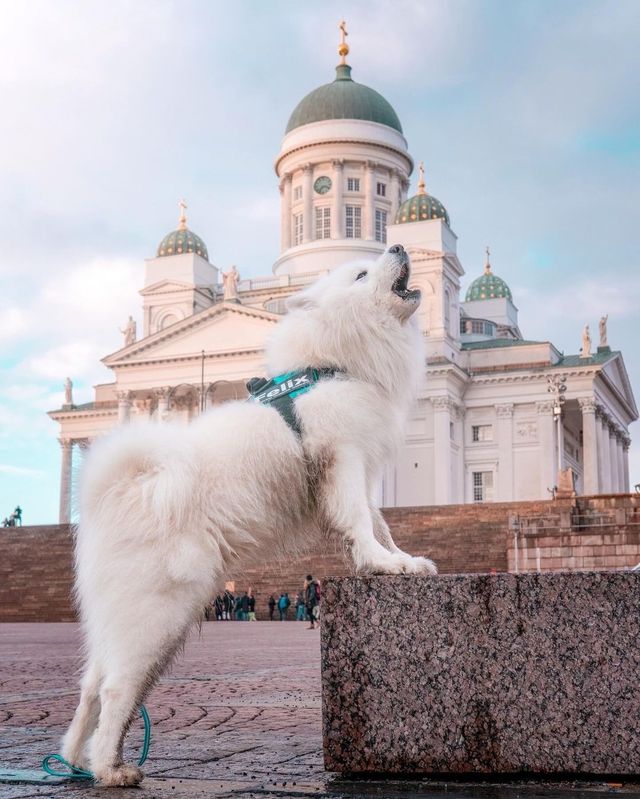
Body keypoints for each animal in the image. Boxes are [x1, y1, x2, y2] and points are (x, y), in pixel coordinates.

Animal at [62, 241, 438, 784]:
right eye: (361, 274)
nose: (399, 244)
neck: (331, 364)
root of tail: (123, 487)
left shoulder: (364, 470)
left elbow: (380, 525)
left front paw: (402, 561)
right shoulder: (344, 459)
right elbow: (360, 524)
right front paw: (382, 564)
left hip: (124, 620)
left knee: (91, 687)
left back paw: (76, 760)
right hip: (155, 615)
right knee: (114, 690)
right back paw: (111, 771)